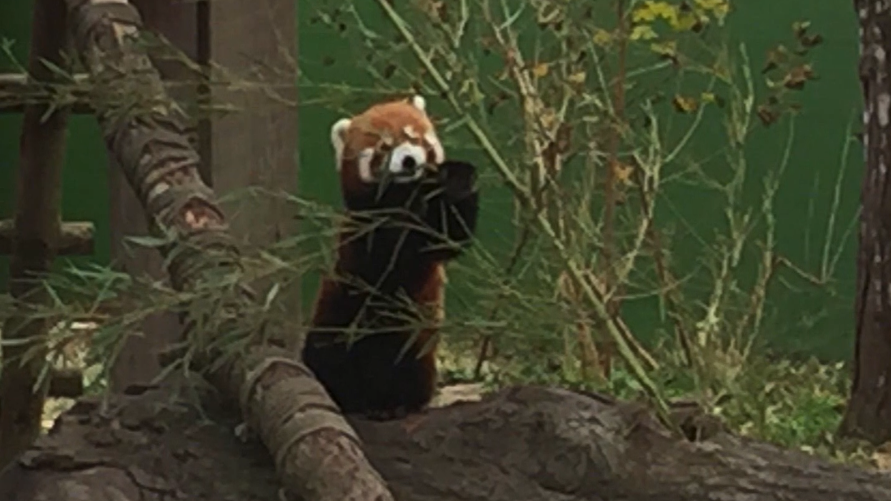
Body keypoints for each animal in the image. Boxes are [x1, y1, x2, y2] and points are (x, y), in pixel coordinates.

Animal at [302, 94, 480, 419]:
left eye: (414, 138)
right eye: (384, 147)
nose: (409, 160)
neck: (403, 195)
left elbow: (448, 236)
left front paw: (457, 179)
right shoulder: (364, 230)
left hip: (416, 341)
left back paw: (397, 404)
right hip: (336, 316)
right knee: (328, 356)